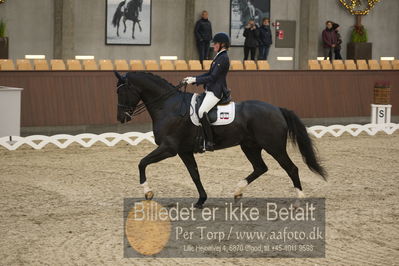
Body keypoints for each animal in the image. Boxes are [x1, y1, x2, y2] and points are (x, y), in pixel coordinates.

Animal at [114, 71, 326, 209]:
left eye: (121, 92)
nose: (121, 118)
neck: (168, 106)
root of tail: (277, 109)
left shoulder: (169, 148)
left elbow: (142, 163)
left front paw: (147, 192)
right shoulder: (184, 151)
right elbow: (195, 174)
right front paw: (201, 200)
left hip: (274, 146)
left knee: (291, 168)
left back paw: (299, 200)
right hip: (250, 146)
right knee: (260, 168)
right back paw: (238, 192)